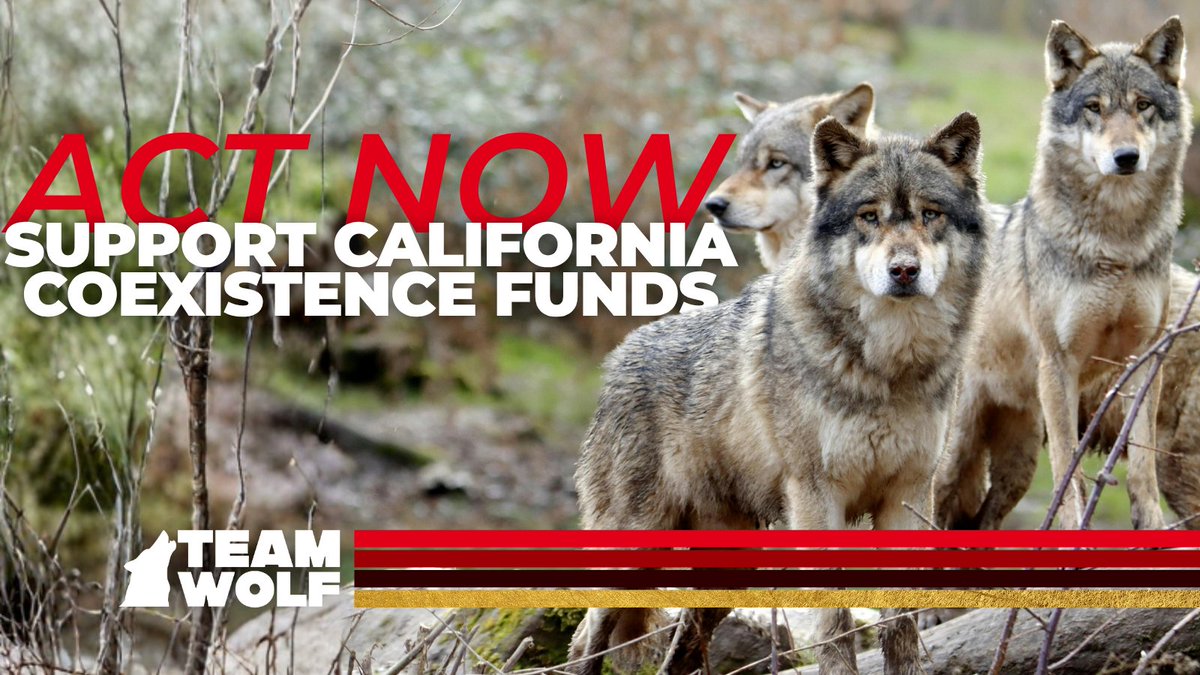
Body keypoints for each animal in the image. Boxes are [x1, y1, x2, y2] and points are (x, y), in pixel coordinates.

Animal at [570, 112, 989, 675]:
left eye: (930, 214)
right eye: (869, 216)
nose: (904, 270)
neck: (886, 366)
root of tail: (616, 359)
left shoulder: (907, 497)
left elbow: (901, 629)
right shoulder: (816, 500)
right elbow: (835, 627)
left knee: (679, 650)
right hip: (634, 550)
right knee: (585, 641)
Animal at [934, 17, 1191, 531]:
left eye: (1143, 106)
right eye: (1094, 108)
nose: (1126, 157)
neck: (1117, 244)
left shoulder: (1145, 358)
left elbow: (1142, 460)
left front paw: (1151, 525)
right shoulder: (1059, 364)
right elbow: (1068, 471)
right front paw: (1074, 530)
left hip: (1017, 462)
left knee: (984, 518)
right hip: (954, 454)